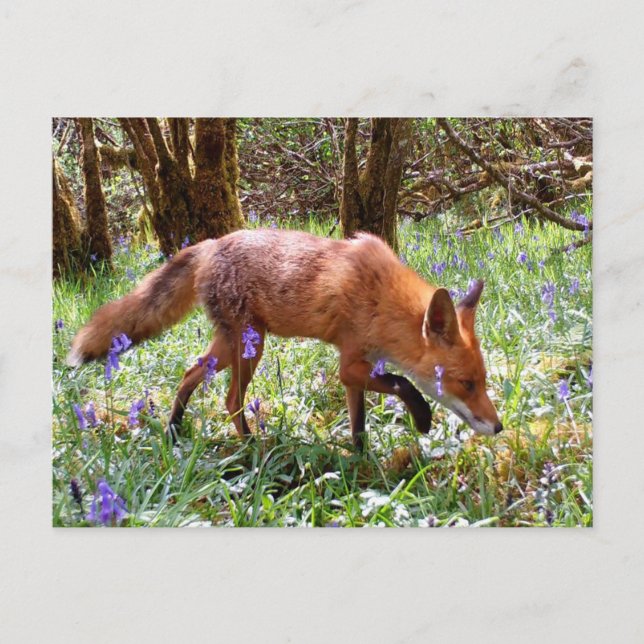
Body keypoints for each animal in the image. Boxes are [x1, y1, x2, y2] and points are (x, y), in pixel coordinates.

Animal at [67, 228, 503, 449]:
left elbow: (359, 424)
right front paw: (423, 418)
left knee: (191, 374)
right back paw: (251, 446)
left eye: (483, 381)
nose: (498, 428)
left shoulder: (355, 370)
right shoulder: (350, 363)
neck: (381, 298)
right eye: (466, 384)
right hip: (249, 346)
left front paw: (360, 462)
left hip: (231, 346)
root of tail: (210, 244)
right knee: (230, 399)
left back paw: (175, 431)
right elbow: (403, 383)